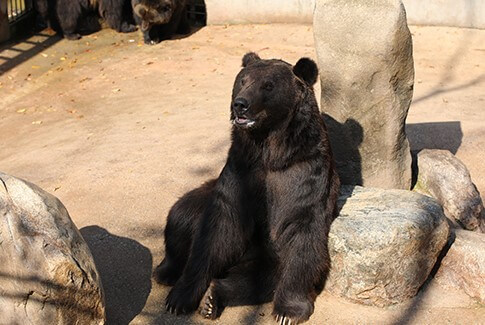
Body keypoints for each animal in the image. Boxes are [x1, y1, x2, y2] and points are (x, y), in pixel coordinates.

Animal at [155, 52, 340, 322]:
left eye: (268, 85)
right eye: (242, 81)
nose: (240, 104)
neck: (269, 148)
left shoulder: (302, 171)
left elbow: (301, 231)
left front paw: (289, 311)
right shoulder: (242, 167)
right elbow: (218, 228)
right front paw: (178, 299)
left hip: (263, 257)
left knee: (258, 280)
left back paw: (214, 297)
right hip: (200, 201)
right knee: (181, 217)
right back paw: (168, 272)